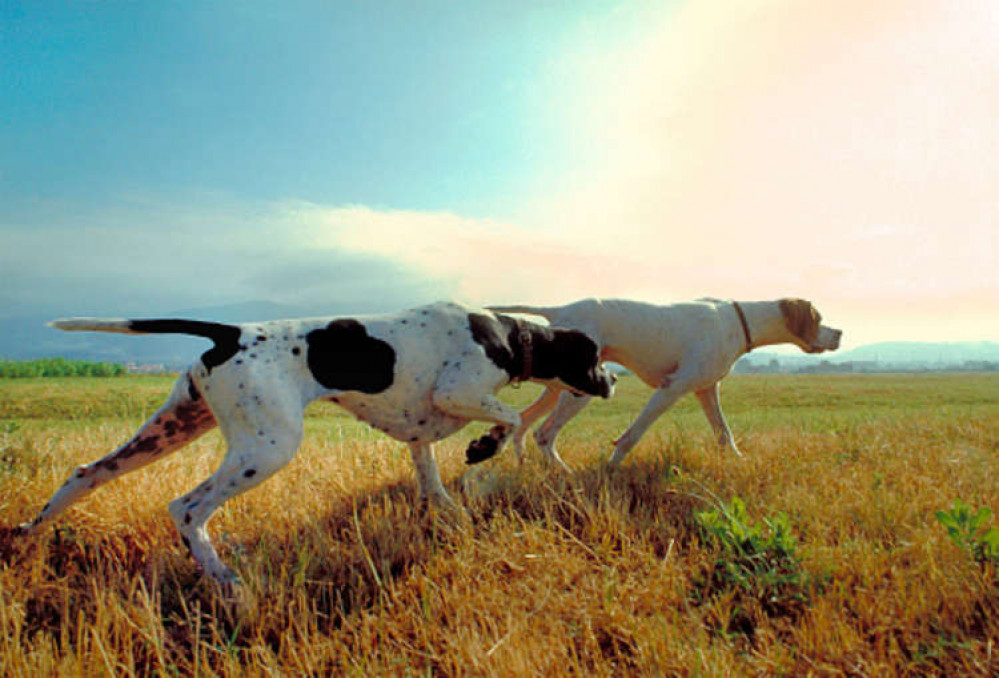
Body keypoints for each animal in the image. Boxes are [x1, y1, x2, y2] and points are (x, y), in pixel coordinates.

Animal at [488, 300, 840, 470]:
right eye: (819, 319)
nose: (839, 333)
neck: (739, 320)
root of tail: (559, 309)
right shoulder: (673, 387)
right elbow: (631, 437)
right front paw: (610, 470)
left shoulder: (706, 390)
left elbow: (724, 434)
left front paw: (739, 461)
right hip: (578, 393)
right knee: (544, 434)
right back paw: (566, 475)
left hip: (557, 388)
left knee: (524, 425)